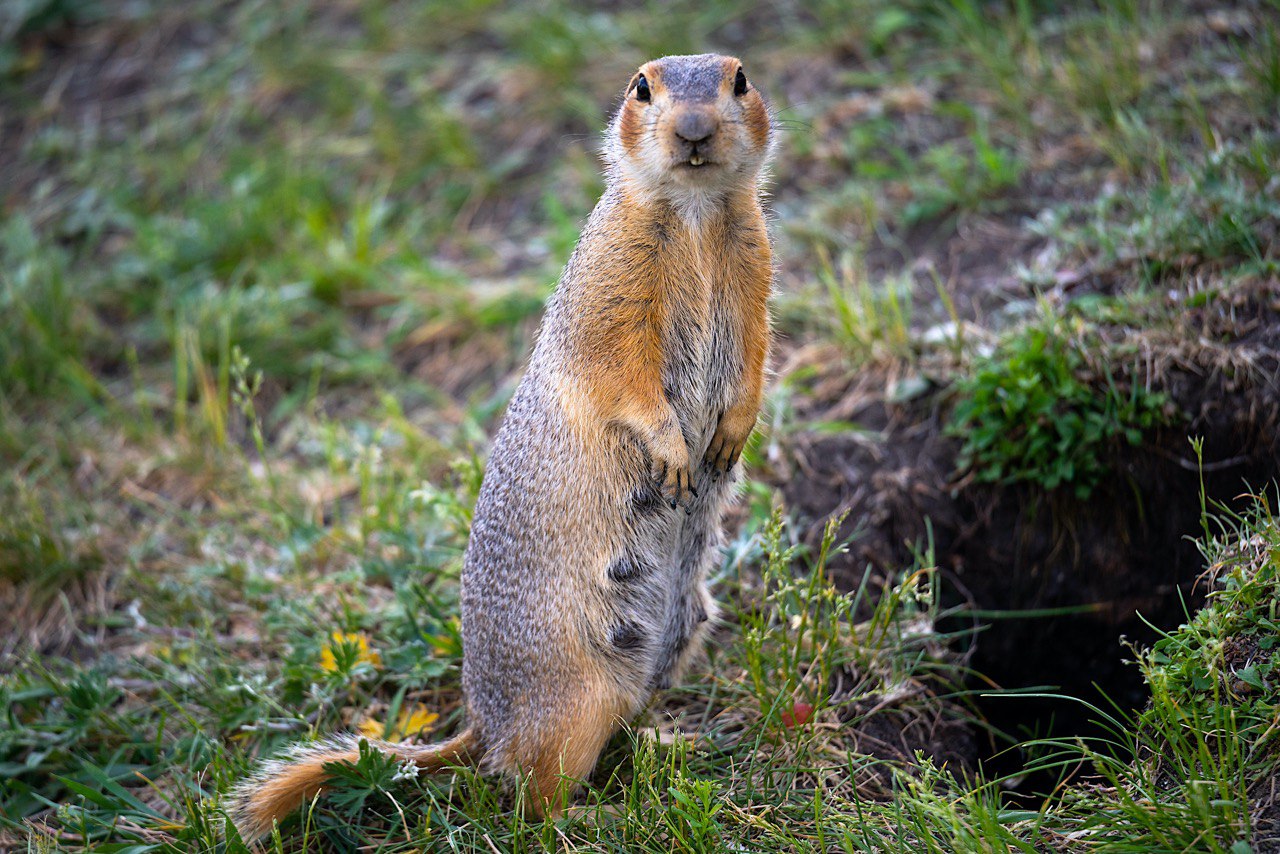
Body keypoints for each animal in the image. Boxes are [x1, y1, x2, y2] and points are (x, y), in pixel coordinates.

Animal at [229, 50, 768, 839]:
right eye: (642, 87)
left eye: (740, 79)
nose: (695, 128)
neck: (695, 212)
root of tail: (482, 722)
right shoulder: (608, 285)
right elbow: (618, 369)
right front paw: (674, 453)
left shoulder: (756, 264)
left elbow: (756, 354)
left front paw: (732, 434)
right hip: (574, 697)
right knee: (530, 797)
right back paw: (596, 817)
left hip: (677, 634)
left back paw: (672, 742)